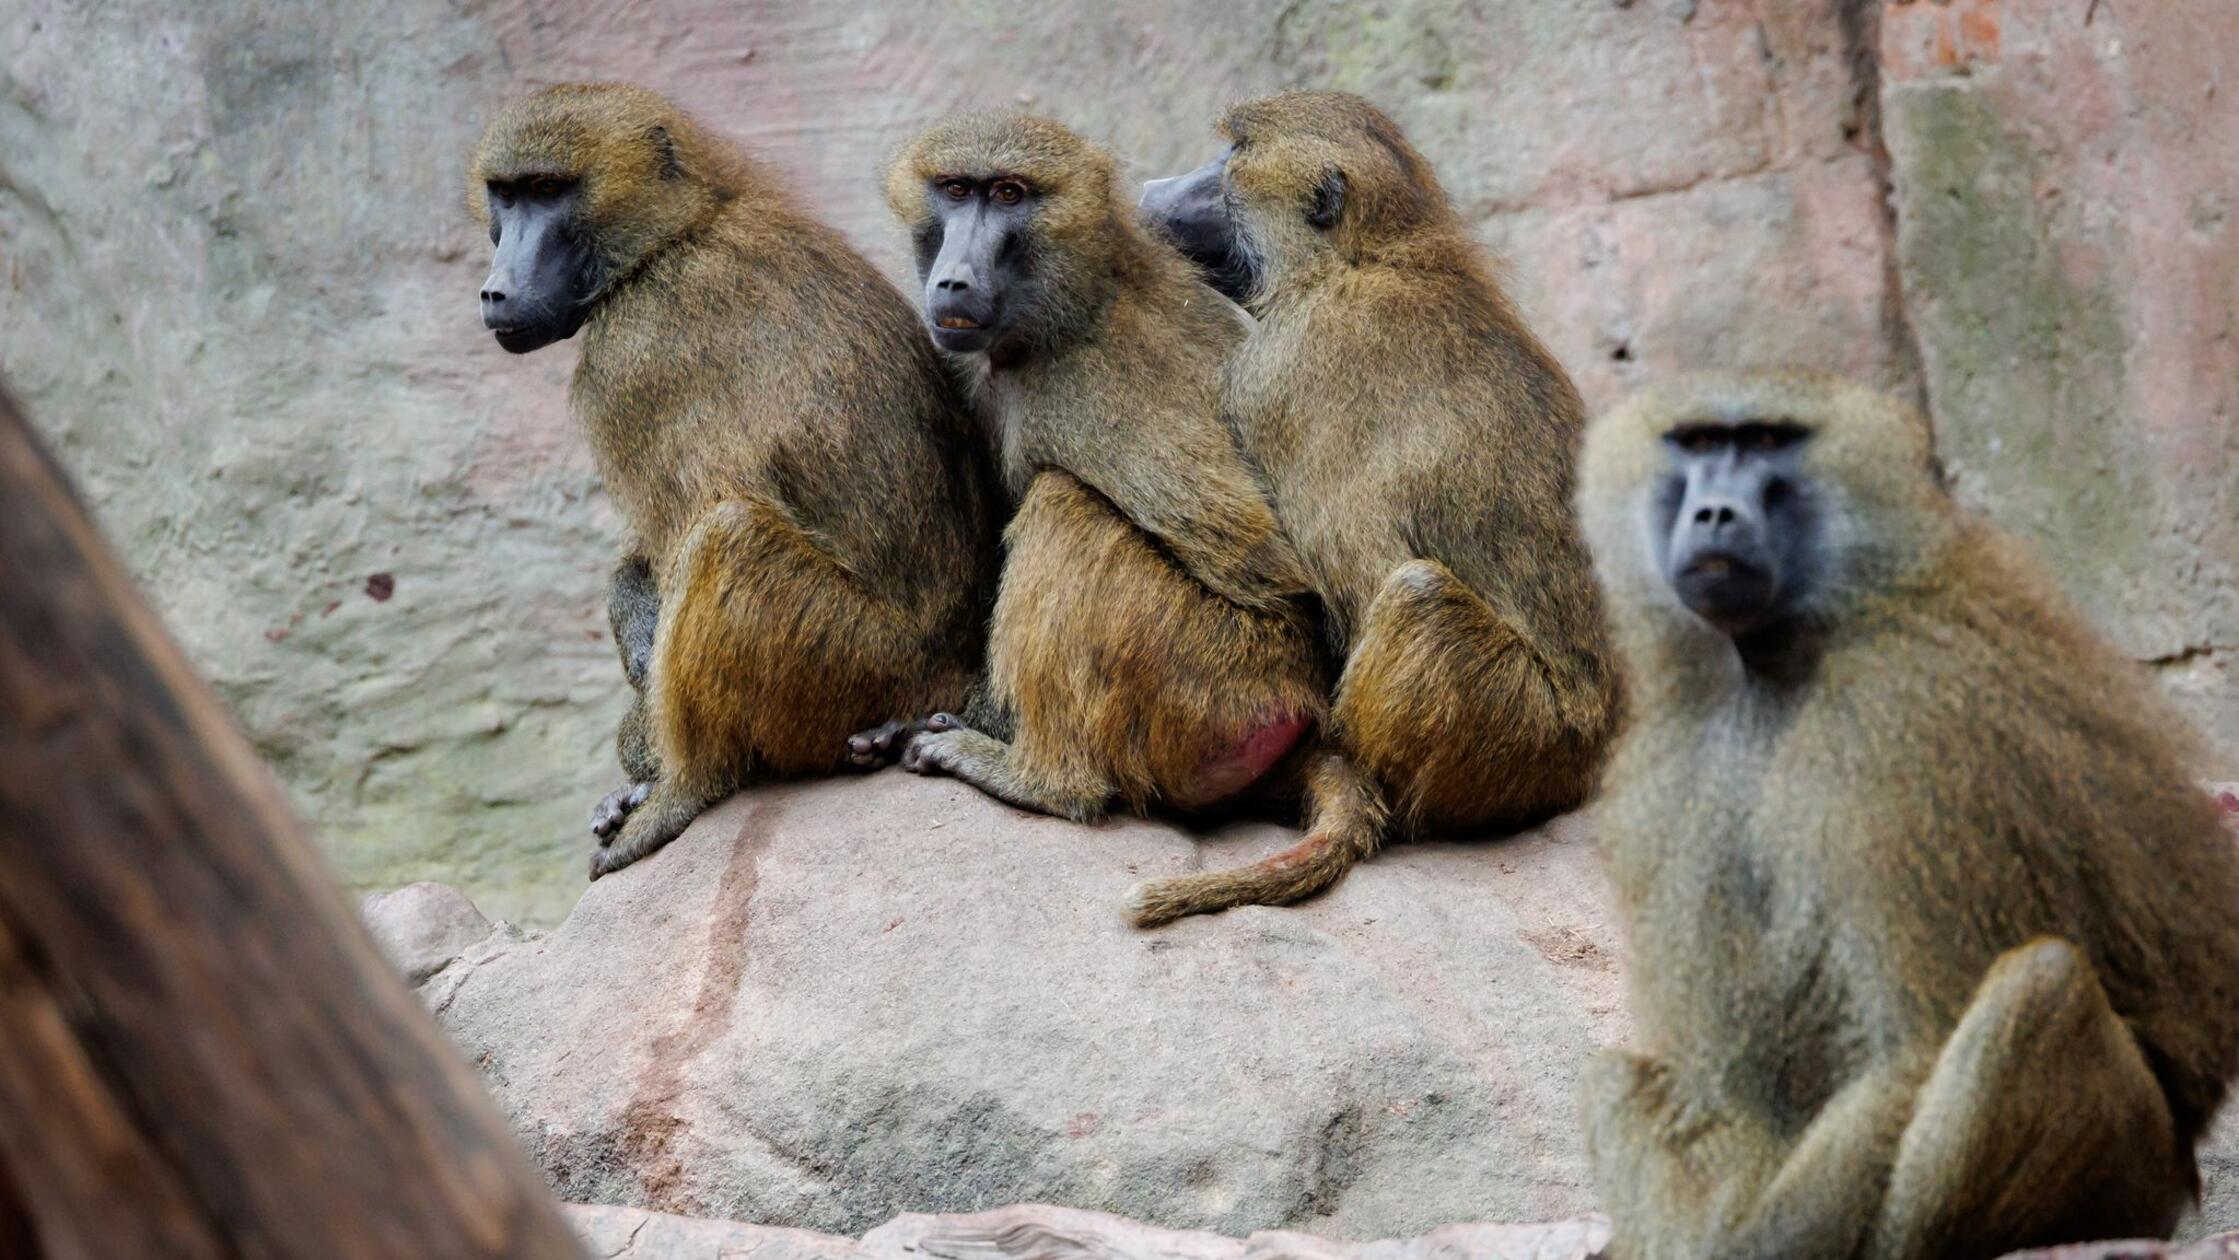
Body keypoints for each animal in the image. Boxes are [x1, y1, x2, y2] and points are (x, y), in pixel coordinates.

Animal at [469, 83, 1002, 878]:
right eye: (505, 194)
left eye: (548, 191)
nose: (496, 292)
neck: (680, 234)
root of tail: (952, 674)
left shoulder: (629, 359)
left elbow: (680, 533)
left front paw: (644, 748)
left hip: (855, 665)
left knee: (728, 535)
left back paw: (683, 788)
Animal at [845, 112, 1327, 823]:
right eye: (957, 190)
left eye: (1010, 195)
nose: (954, 280)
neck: (1071, 302)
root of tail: (1301, 707)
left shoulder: (1093, 389)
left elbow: (1269, 569)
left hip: (1216, 692)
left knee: (1064, 504)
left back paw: (1039, 779)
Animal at [1129, 91, 1621, 925]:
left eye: (1233, 155)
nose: (1148, 190)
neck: (1364, 255)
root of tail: (1589, 750)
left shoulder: (1273, 373)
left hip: (1518, 738)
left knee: (1414, 594)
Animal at [1571, 370, 2239, 1260]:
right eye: (1700, 442)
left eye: (1766, 442)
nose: (1714, 512)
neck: (1786, 653)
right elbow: (1725, 1098)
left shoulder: (1889, 736)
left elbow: (1912, 1048)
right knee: (1613, 1079)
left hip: (2135, 1175)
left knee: (2038, 991)